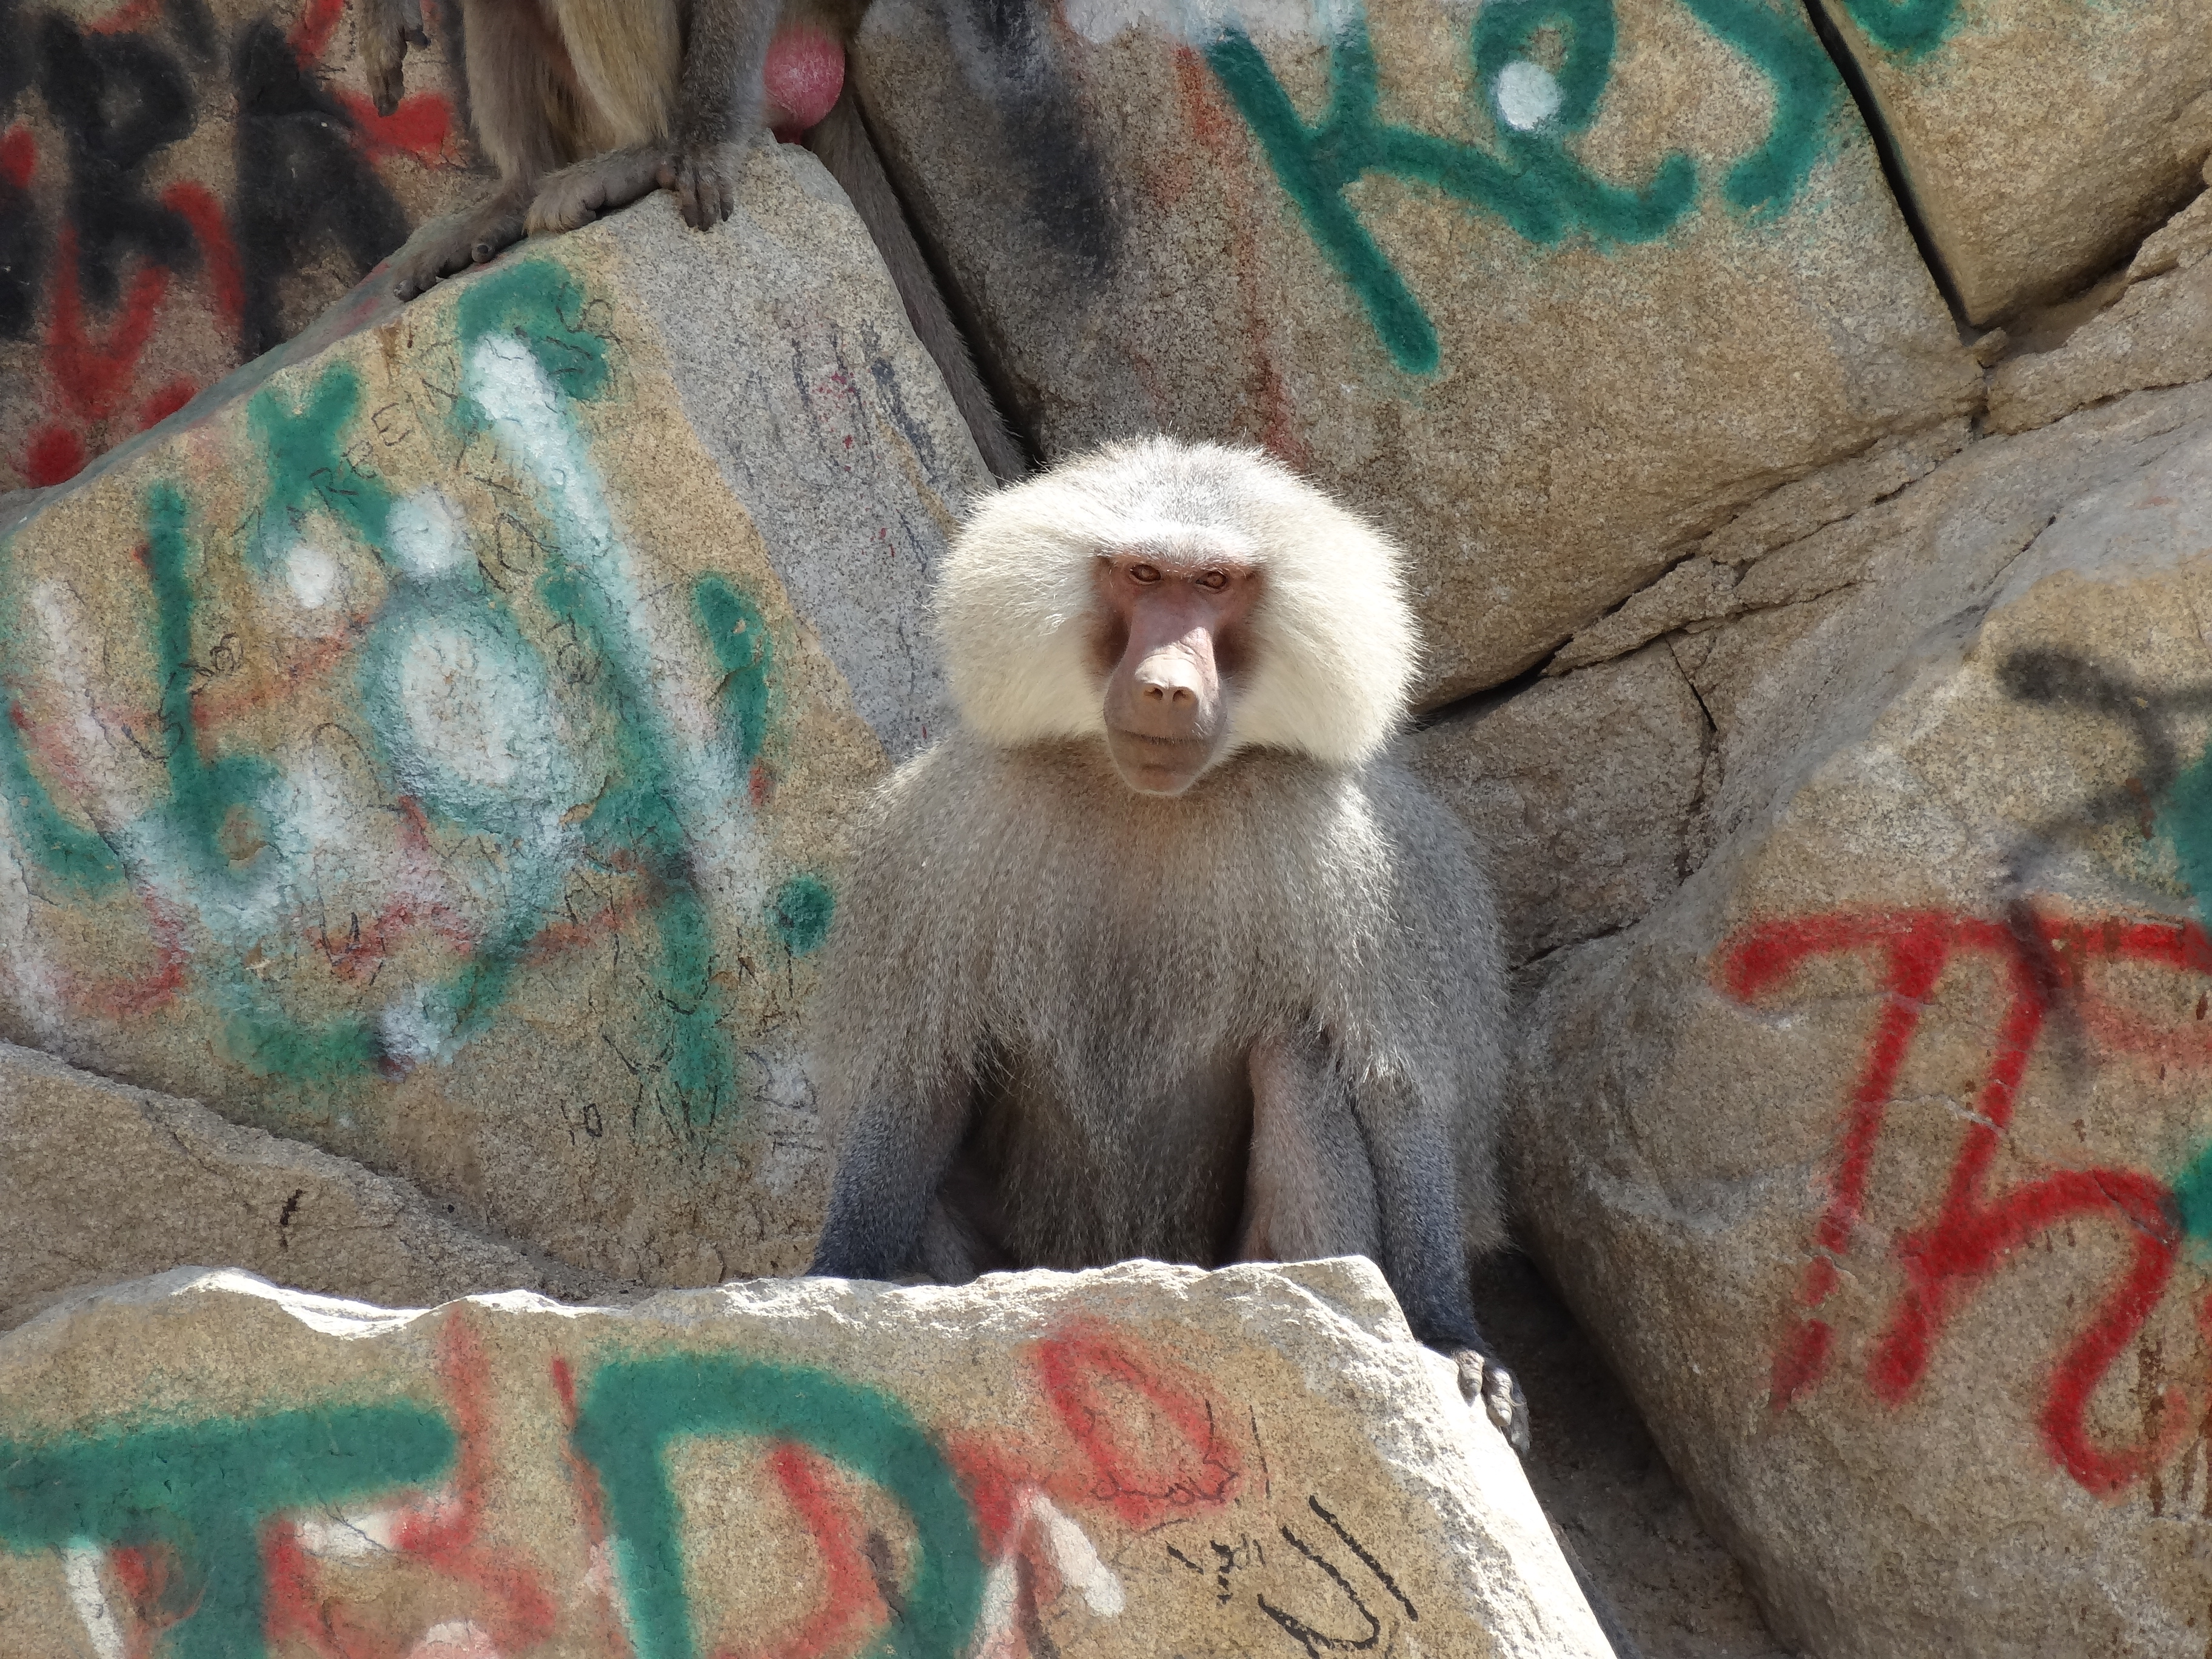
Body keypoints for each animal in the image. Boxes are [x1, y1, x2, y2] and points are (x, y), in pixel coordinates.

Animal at [806, 436, 1528, 1453]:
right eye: (1144, 577)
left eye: (1216, 583)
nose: (1166, 687)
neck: (1153, 802)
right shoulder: (950, 835)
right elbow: (919, 1078)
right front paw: (832, 1277)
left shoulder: (1363, 864)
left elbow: (1398, 1095)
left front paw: (1453, 1337)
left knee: (1298, 1058)